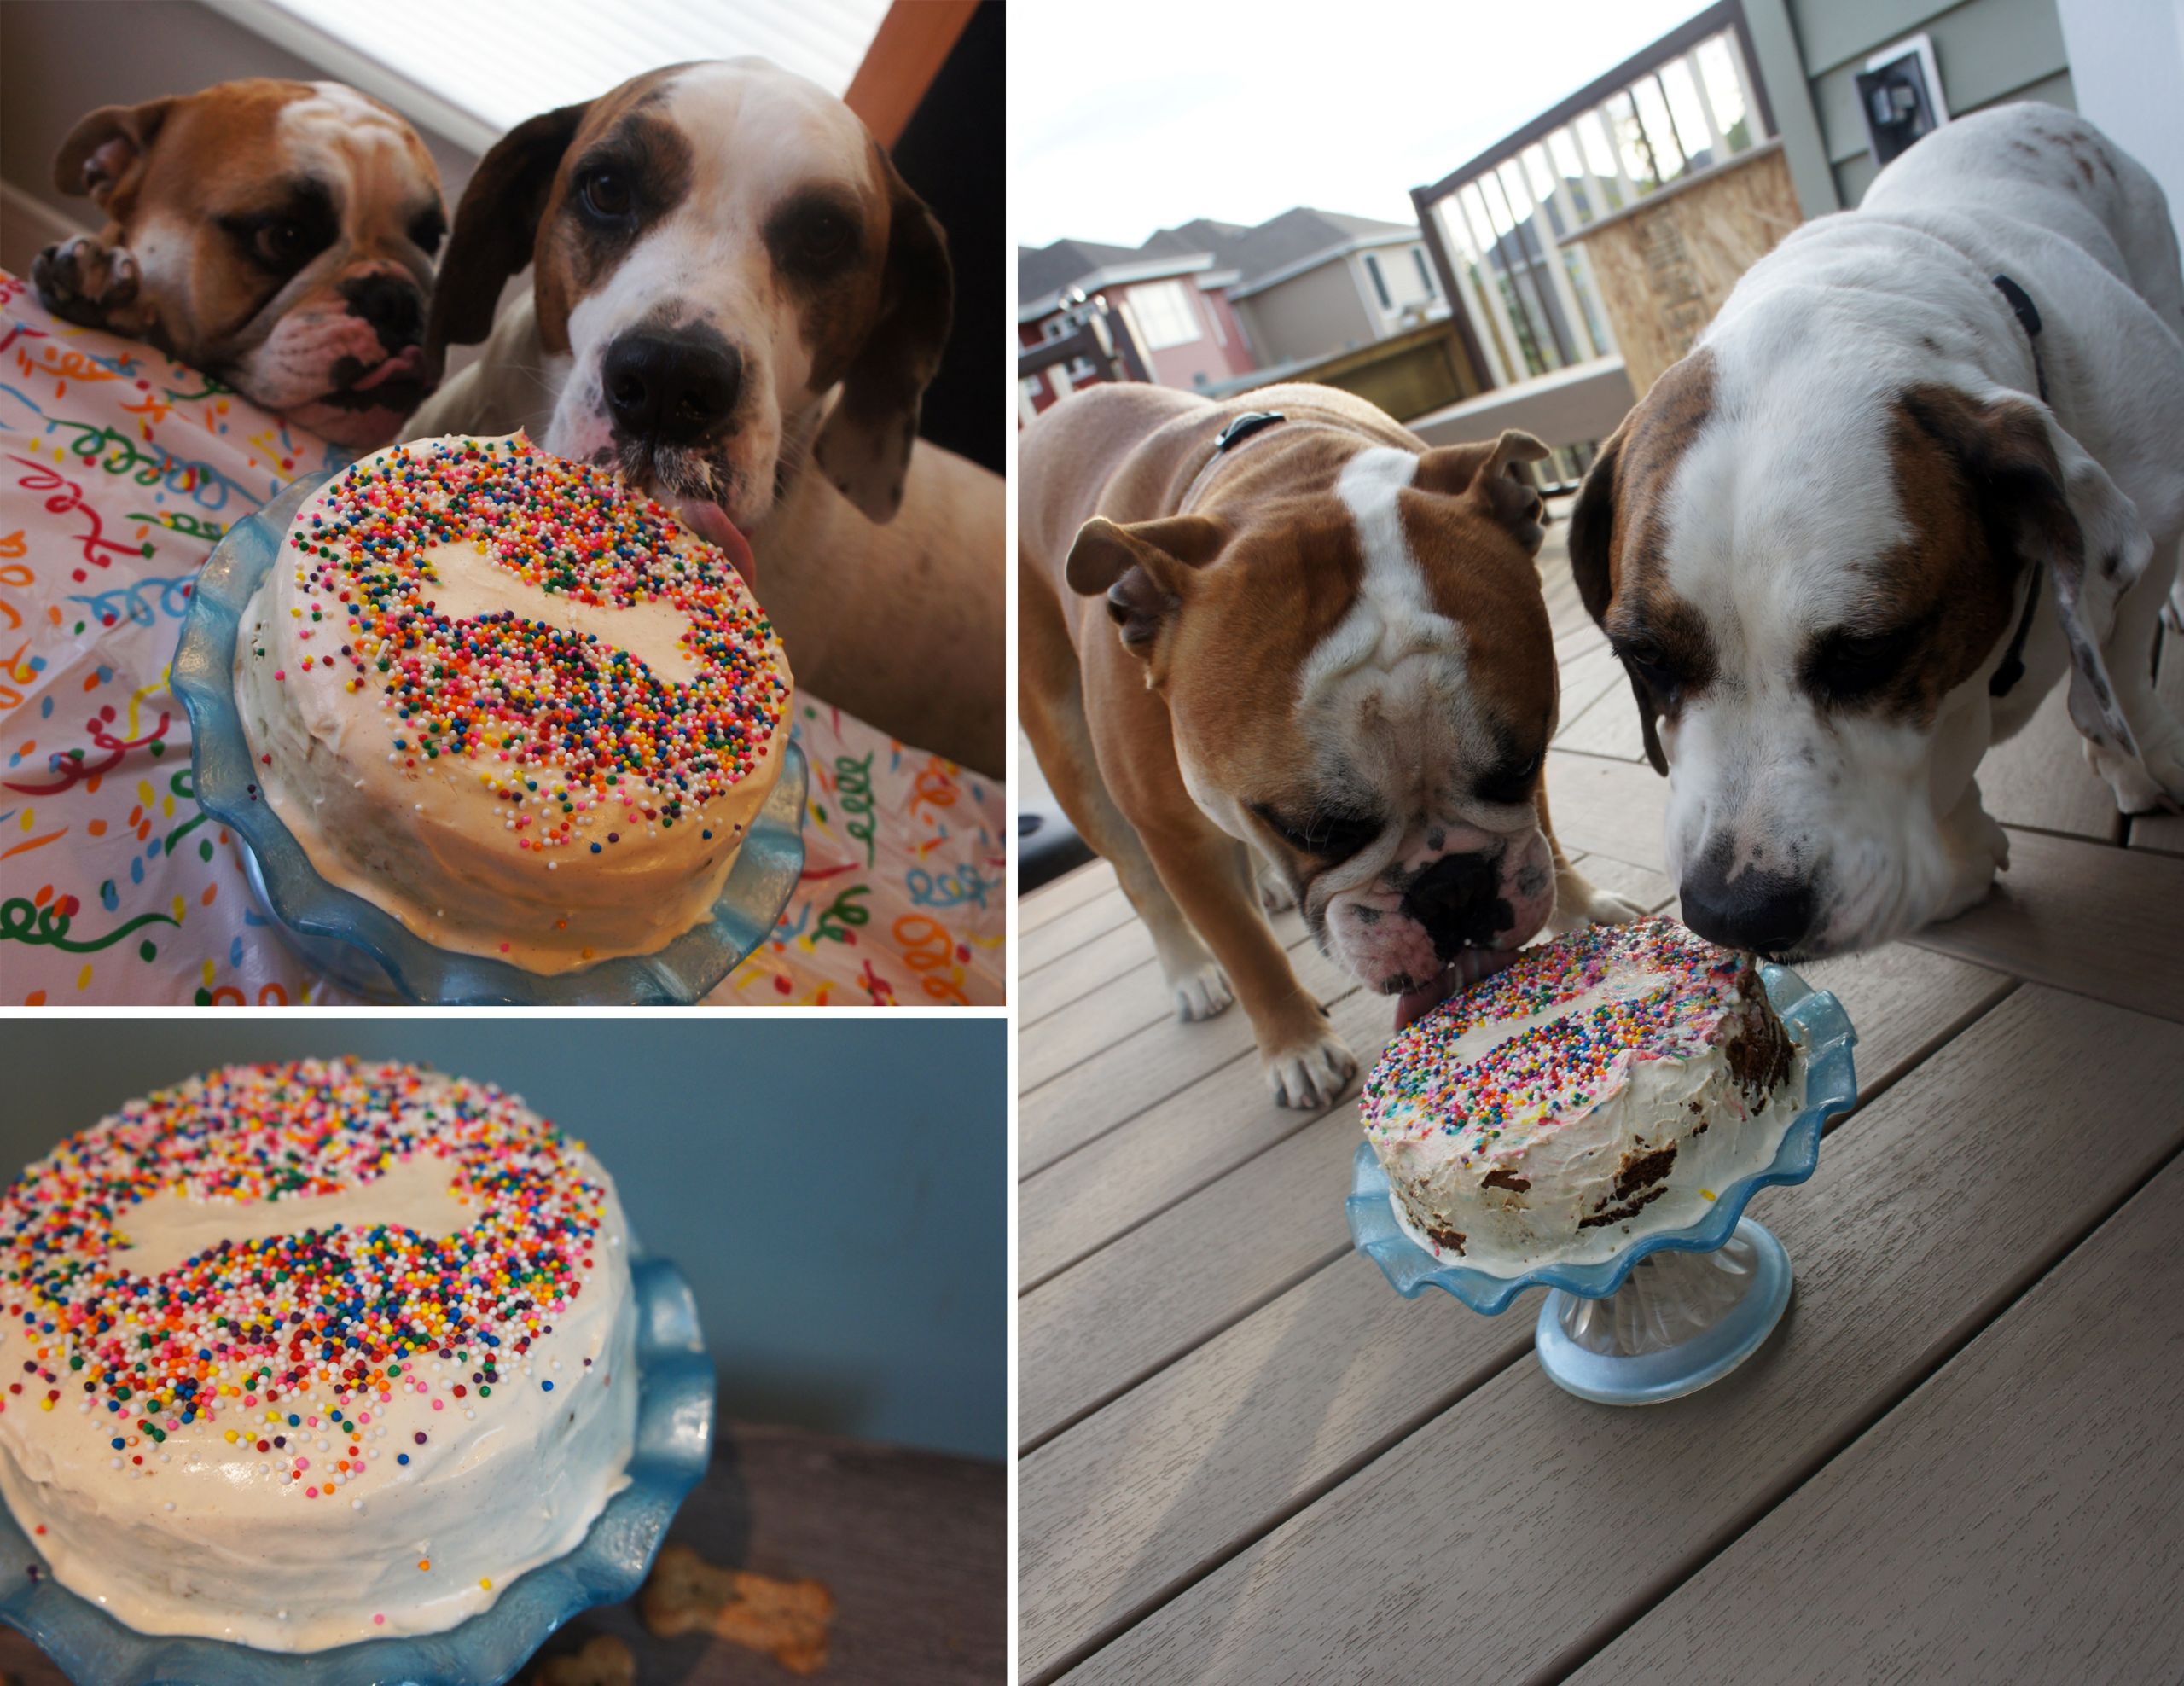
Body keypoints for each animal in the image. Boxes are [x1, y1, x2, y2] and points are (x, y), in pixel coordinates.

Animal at [1572, 105, 2184, 956]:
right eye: (1646, 656)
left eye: (1868, 652)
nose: (1735, 913)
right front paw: (1963, 850)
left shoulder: (2162, 500)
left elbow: (2121, 657)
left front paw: (2141, 749)